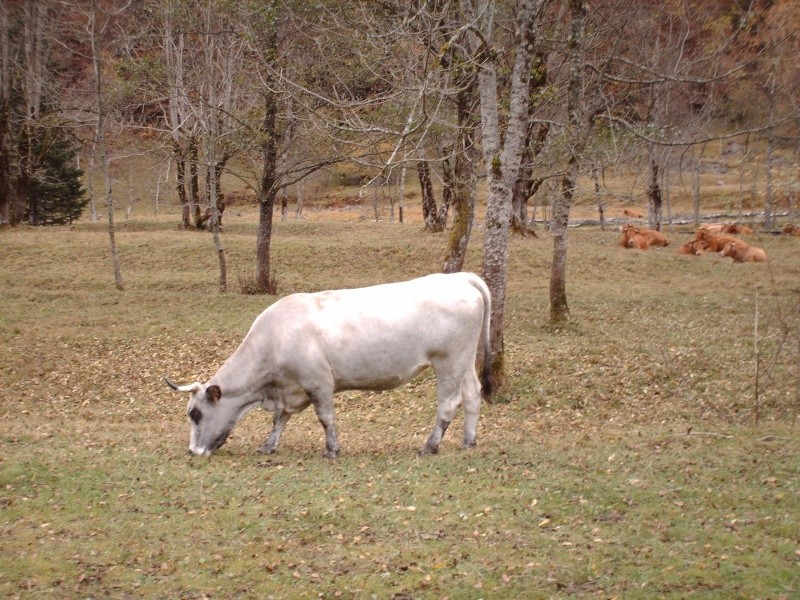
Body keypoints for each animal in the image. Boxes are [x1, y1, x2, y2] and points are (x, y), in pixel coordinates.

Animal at [167, 274, 494, 460]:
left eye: (195, 413)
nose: (193, 451)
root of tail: (459, 277)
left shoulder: (318, 382)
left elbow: (325, 418)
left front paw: (332, 449)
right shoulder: (291, 389)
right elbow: (280, 420)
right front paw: (268, 446)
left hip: (449, 362)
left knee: (448, 404)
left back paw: (430, 446)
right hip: (464, 361)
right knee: (472, 395)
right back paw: (468, 442)